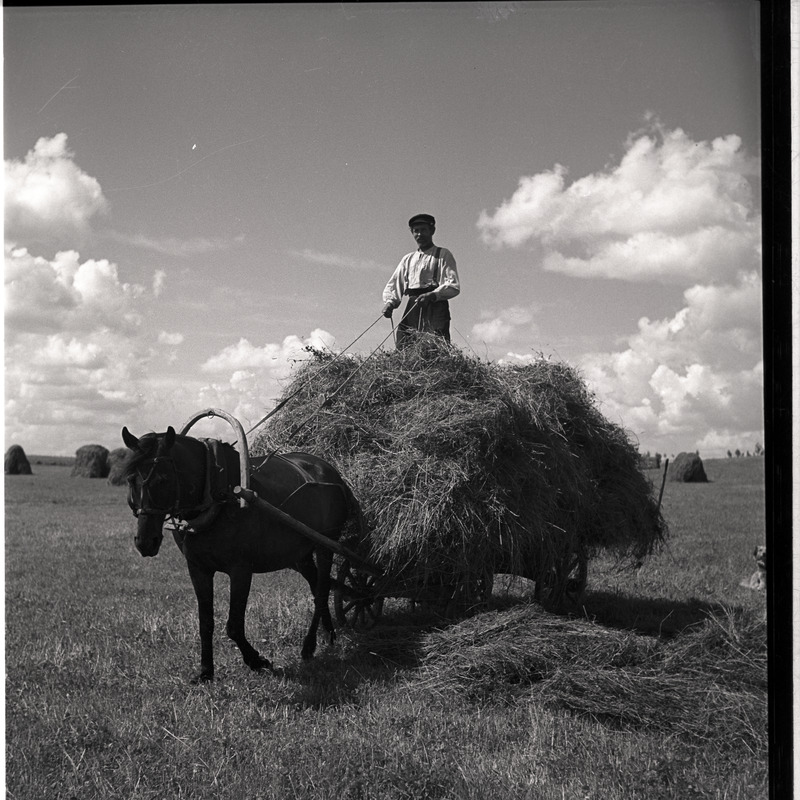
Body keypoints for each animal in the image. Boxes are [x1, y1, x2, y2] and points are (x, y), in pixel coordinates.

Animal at [120, 424, 360, 680]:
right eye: (131, 479)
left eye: (163, 479)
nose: (146, 542)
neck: (216, 494)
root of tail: (330, 471)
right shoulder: (198, 568)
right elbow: (205, 622)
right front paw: (206, 672)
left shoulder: (241, 570)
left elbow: (234, 626)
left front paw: (257, 660)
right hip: (302, 554)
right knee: (317, 587)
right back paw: (329, 634)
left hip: (325, 546)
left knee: (322, 591)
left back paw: (309, 645)